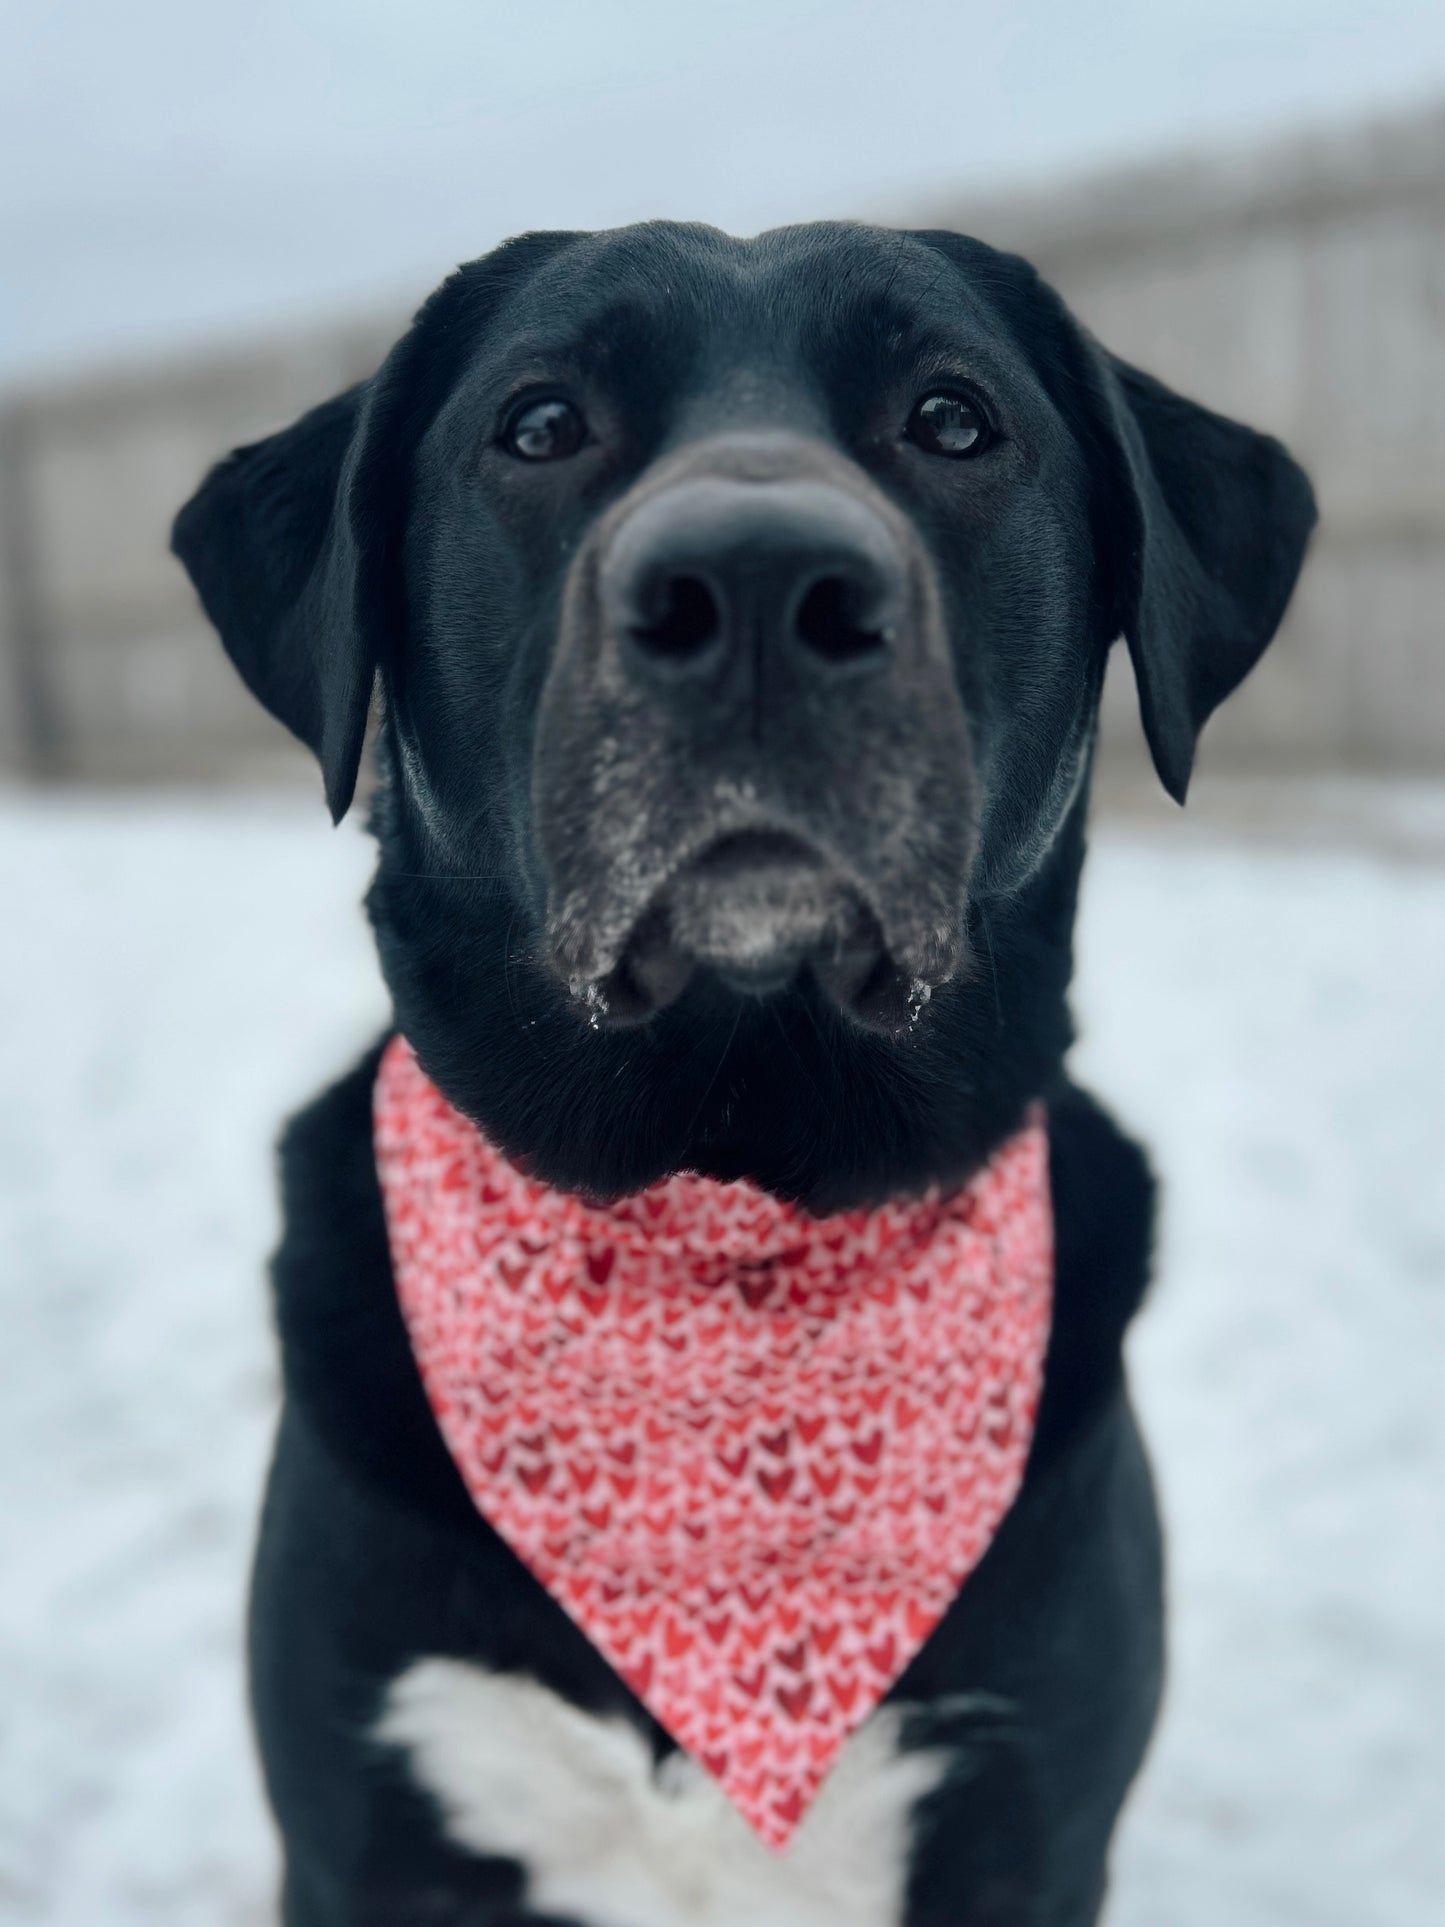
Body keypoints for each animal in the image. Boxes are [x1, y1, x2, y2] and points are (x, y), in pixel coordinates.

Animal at [175, 218, 1317, 1919]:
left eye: (952, 417)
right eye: (539, 423)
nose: (761, 581)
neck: (728, 1188)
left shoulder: (1030, 1819)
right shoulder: (365, 1827)